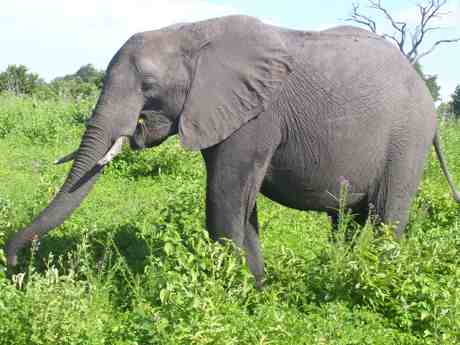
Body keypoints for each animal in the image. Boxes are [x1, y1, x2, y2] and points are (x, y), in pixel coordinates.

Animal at [7, 14, 460, 286]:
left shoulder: (256, 116)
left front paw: (235, 293)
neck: (189, 32)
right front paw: (258, 290)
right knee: (345, 220)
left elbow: (224, 199)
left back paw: (376, 274)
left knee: (387, 216)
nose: (12, 263)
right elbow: (241, 208)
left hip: (408, 138)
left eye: (149, 86)